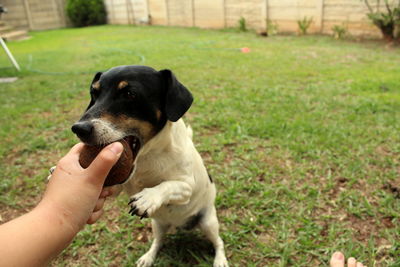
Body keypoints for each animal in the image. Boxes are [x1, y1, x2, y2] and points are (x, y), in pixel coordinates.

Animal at [70, 65, 230, 267]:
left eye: (130, 94)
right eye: (94, 93)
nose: (79, 129)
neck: (146, 159)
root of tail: (179, 226)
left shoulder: (187, 187)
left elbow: (169, 185)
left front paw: (148, 198)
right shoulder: (119, 186)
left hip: (208, 222)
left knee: (219, 242)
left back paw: (220, 259)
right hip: (158, 224)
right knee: (158, 241)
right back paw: (148, 257)